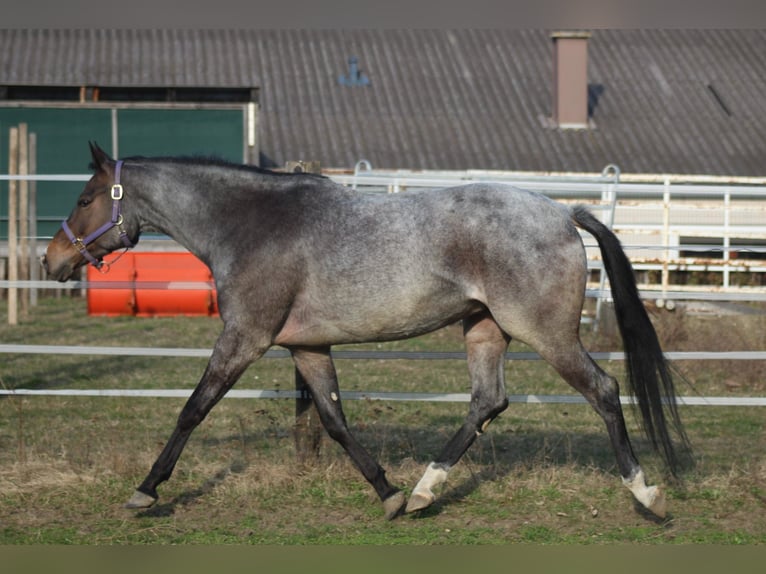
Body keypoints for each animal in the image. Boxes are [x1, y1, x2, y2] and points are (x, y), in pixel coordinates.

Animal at [43, 143, 690, 521]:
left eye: (85, 197)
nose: (53, 261)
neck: (252, 224)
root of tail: (563, 212)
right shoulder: (305, 346)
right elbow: (333, 420)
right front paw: (389, 494)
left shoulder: (245, 337)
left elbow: (192, 410)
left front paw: (145, 491)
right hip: (483, 330)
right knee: (487, 402)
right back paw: (425, 491)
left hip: (547, 335)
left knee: (603, 391)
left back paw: (648, 496)